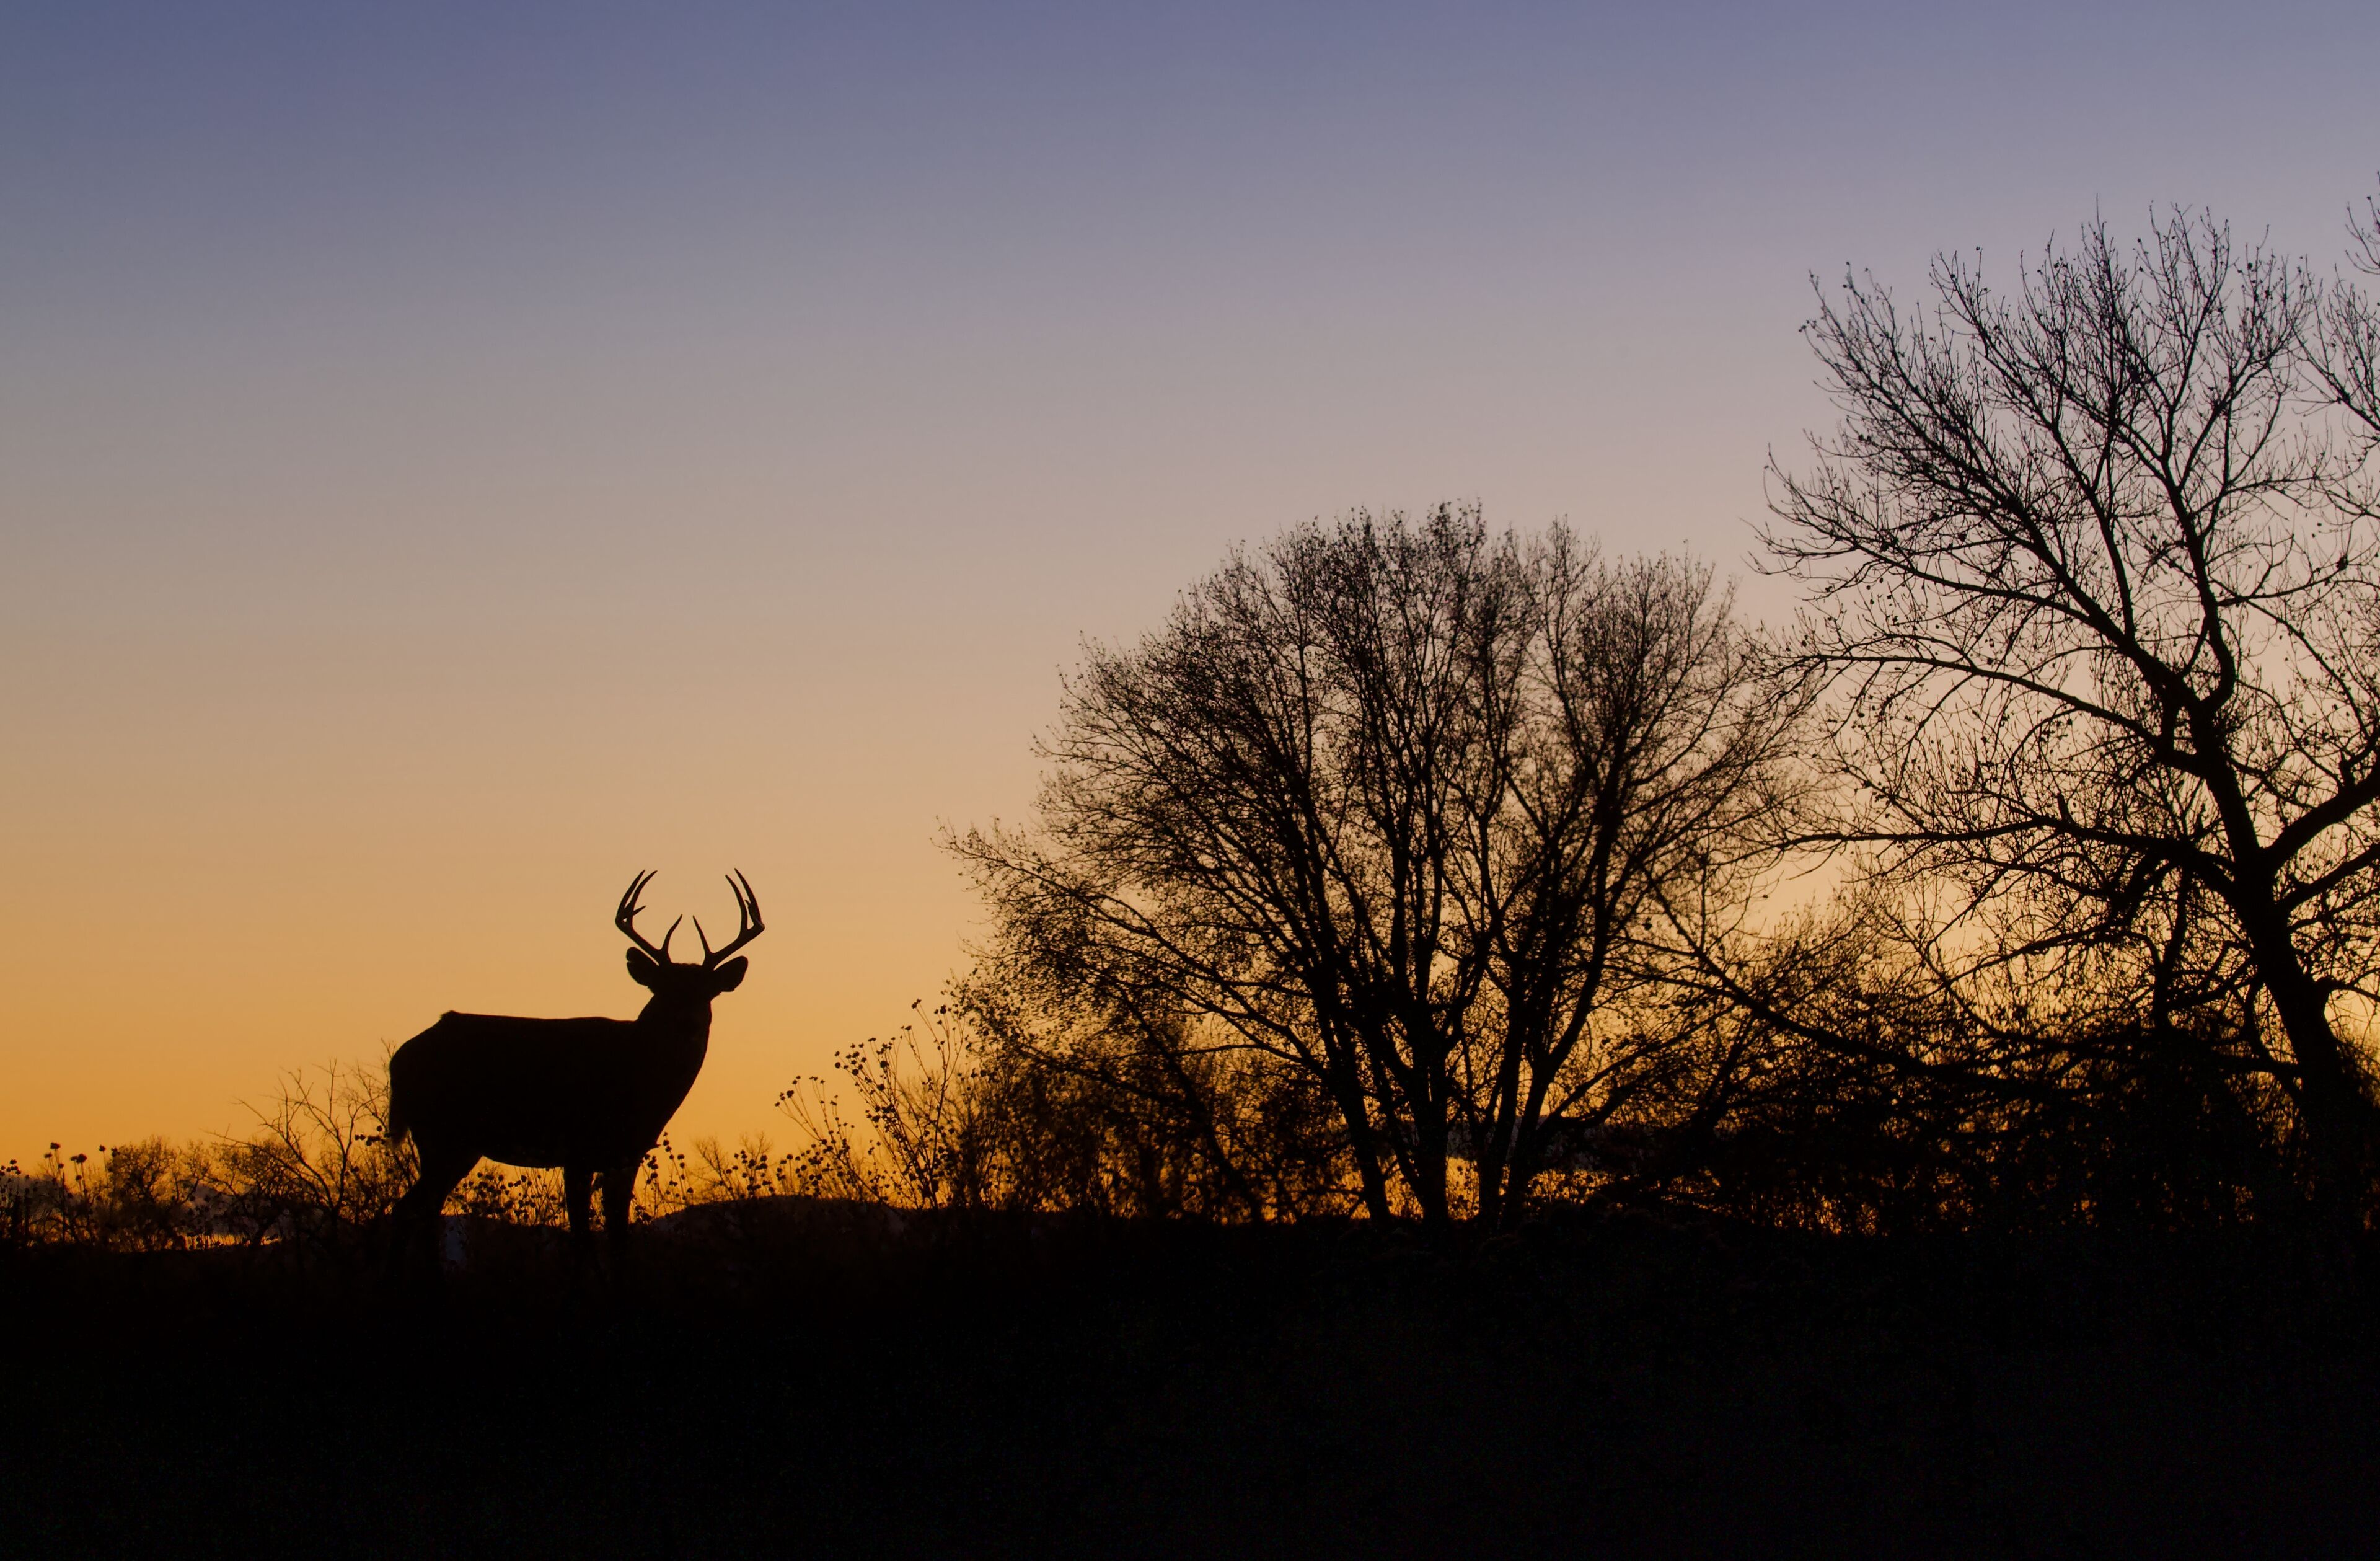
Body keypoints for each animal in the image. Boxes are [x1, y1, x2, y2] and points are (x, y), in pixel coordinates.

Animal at [381, 870, 763, 1285]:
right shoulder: (577, 1148)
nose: (688, 1023)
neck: (638, 1081)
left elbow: (618, 1236)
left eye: (707, 993)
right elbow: (581, 1237)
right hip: (441, 1134)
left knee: (414, 1211)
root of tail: (400, 1059)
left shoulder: (626, 1155)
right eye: (664, 990)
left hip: (457, 1143)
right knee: (412, 1212)